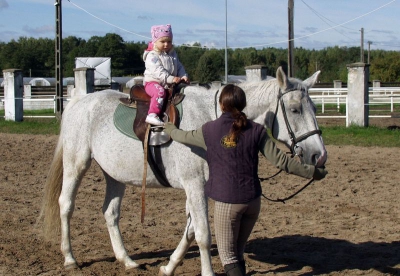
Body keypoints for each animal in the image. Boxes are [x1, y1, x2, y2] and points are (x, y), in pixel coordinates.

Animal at [41, 67, 328, 276]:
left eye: (315, 108)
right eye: (294, 109)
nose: (319, 155)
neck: (213, 119)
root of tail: (79, 101)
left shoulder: (199, 189)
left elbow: (191, 231)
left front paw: (169, 266)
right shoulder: (195, 185)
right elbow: (203, 234)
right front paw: (206, 273)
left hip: (115, 174)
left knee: (110, 213)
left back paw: (127, 260)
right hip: (76, 163)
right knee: (66, 205)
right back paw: (70, 258)